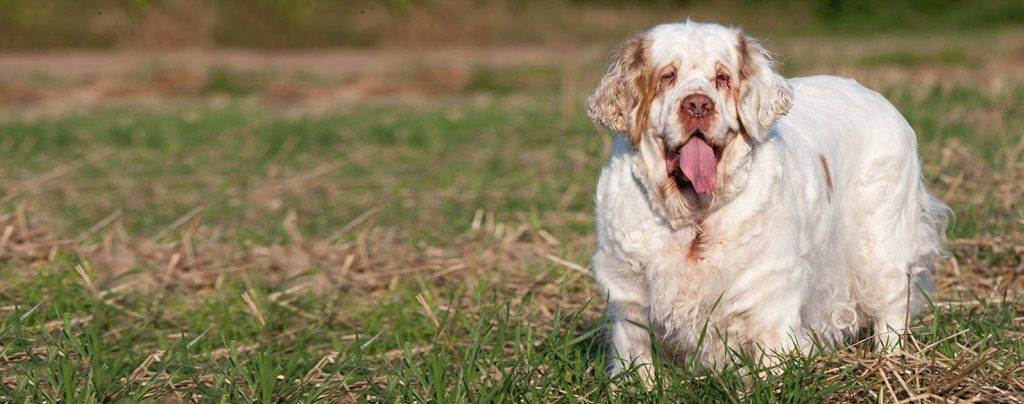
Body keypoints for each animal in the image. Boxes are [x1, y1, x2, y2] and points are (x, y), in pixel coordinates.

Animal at [589, 20, 946, 380]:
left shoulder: (769, 292)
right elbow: (637, 360)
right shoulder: (630, 297)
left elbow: (772, 360)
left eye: (722, 78)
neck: (696, 217)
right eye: (667, 76)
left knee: (893, 304)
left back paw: (892, 364)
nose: (698, 105)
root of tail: (878, 97)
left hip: (880, 245)